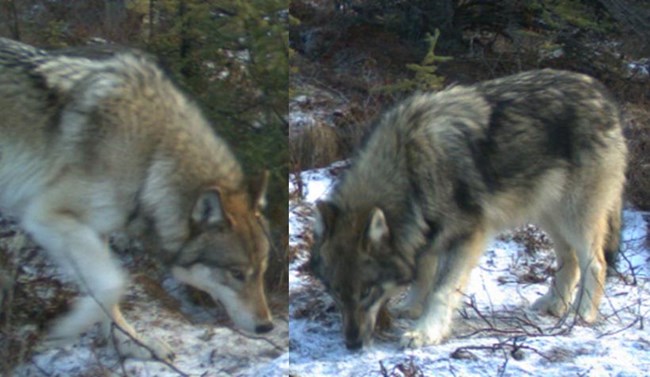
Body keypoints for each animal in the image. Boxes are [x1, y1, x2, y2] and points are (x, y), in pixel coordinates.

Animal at [0, 38, 270, 362]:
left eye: (263, 271)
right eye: (237, 274)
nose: (267, 326)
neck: (150, 160)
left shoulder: (94, 230)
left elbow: (106, 296)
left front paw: (130, 344)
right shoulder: (46, 216)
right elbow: (112, 284)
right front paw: (66, 330)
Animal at [312, 68, 624, 350]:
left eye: (366, 291)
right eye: (336, 293)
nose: (352, 344)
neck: (409, 169)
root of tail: (603, 94)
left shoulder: (465, 237)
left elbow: (441, 290)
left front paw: (425, 332)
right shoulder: (427, 235)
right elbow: (423, 277)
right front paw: (412, 308)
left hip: (574, 218)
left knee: (595, 263)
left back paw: (581, 315)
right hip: (547, 215)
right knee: (569, 261)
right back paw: (554, 304)